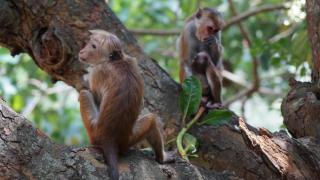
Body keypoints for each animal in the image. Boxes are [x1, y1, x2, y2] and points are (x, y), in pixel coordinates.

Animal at [78, 29, 172, 180]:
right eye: (89, 44)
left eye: (93, 46)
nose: (82, 51)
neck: (116, 60)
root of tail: (109, 140)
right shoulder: (133, 61)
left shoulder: (97, 71)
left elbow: (95, 96)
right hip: (129, 138)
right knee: (151, 121)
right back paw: (161, 159)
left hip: (94, 131)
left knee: (84, 94)